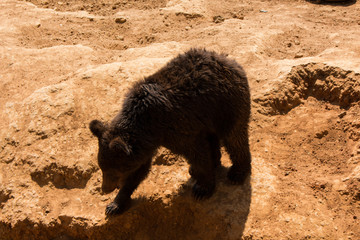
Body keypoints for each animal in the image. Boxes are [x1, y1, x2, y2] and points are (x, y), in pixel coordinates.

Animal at [89, 47, 252, 215]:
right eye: (102, 167)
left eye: (113, 171)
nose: (105, 189)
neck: (148, 125)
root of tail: (229, 60)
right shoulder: (146, 144)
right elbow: (138, 171)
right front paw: (114, 205)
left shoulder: (178, 127)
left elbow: (197, 152)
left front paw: (202, 189)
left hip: (226, 103)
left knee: (234, 136)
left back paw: (237, 173)